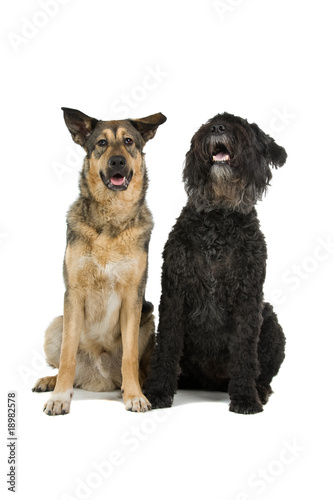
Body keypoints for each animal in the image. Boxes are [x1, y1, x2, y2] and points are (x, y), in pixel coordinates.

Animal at [33, 106, 166, 414]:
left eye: (128, 141)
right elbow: (67, 356)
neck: (111, 219)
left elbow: (129, 357)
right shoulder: (74, 295)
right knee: (66, 362)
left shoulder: (133, 298)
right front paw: (59, 397)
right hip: (56, 324)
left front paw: (134, 395)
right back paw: (50, 381)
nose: (117, 161)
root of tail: (97, 379)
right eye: (102, 143)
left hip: (148, 318)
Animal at [145, 112, 286, 414]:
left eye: (243, 127)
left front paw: (245, 398)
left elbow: (244, 350)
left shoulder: (248, 299)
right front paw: (158, 392)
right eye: (209, 122)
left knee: (263, 372)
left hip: (270, 320)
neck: (219, 217)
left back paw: (259, 389)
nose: (217, 128)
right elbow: (167, 344)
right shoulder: (174, 294)